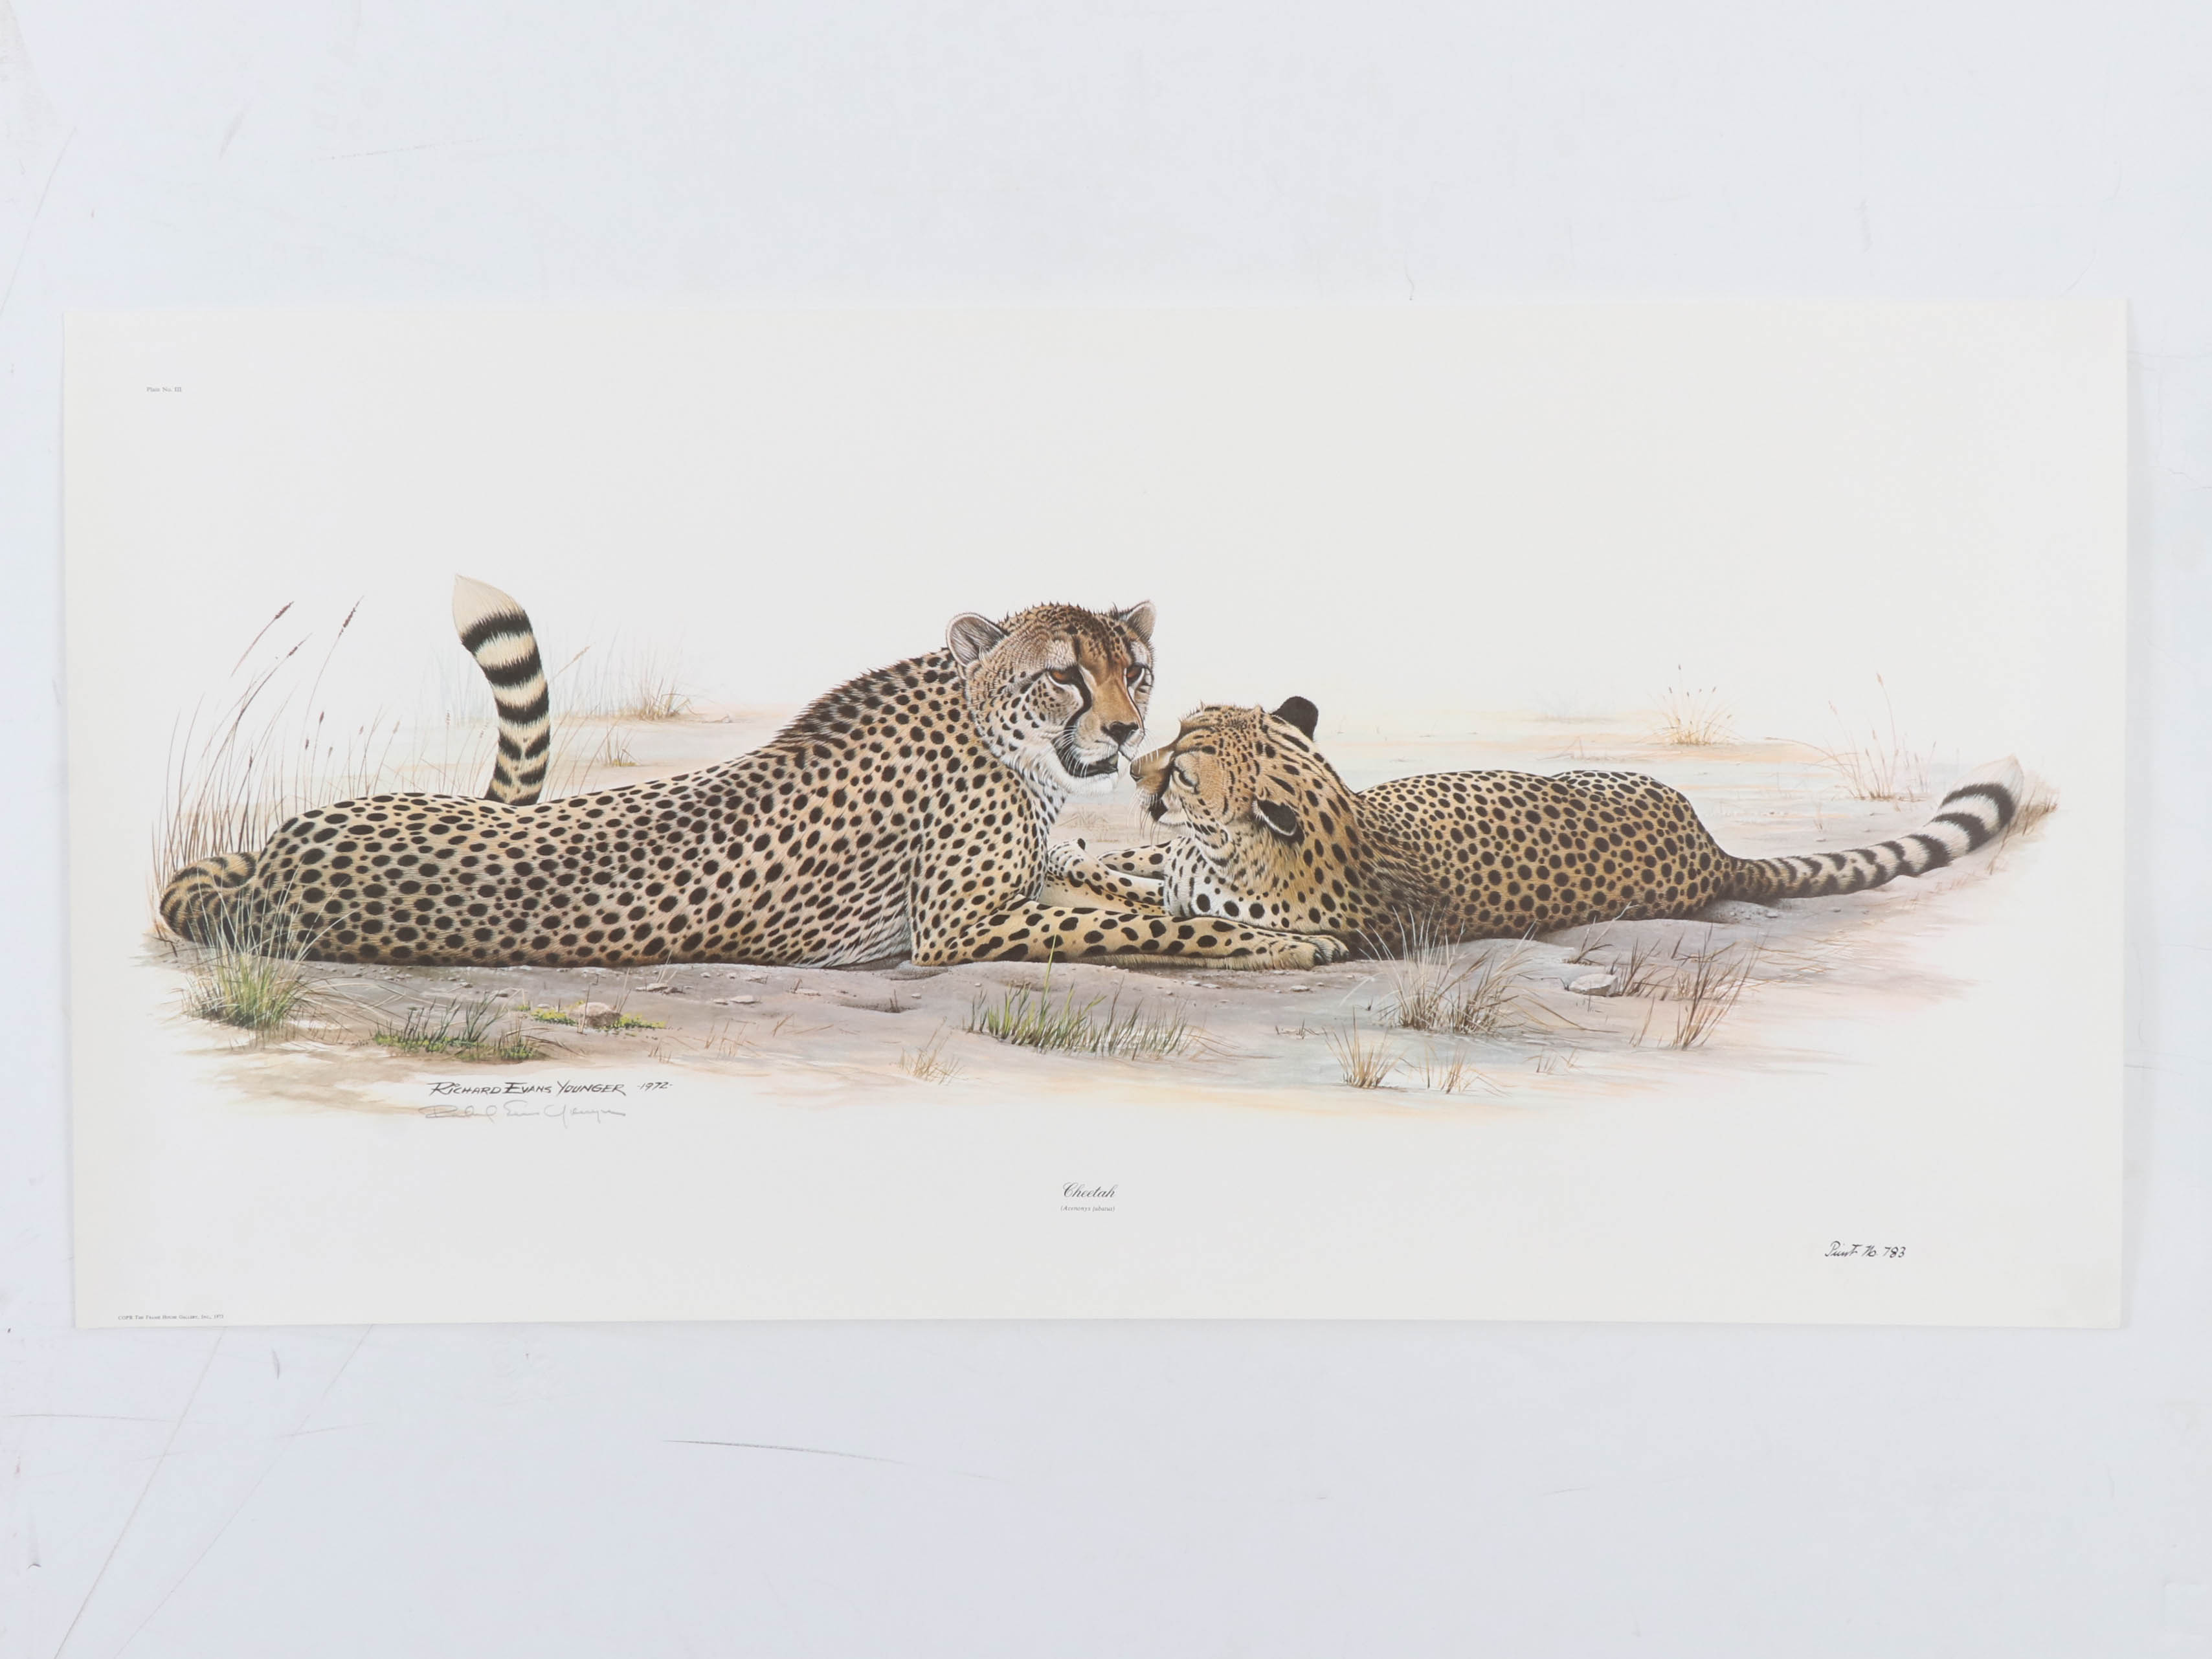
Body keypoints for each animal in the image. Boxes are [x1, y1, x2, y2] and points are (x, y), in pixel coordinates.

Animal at [157, 580, 1344, 971]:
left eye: (1133, 669)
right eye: (1063, 676)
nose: (1128, 731)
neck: (992, 734)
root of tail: (264, 866)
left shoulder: (1043, 866)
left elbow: (1123, 876)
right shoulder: (957, 930)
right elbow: (1149, 922)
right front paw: (1285, 939)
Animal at [1057, 696, 2025, 955]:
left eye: (1186, 761)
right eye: (1182, 730)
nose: (1136, 766)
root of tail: (1713, 851)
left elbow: (1131, 882)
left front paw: (1076, 855)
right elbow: (1134, 859)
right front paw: (1088, 847)